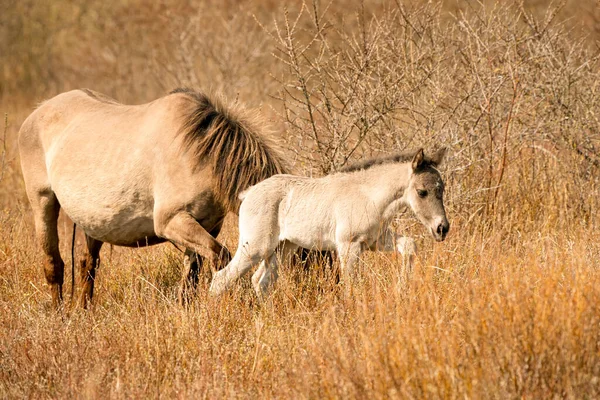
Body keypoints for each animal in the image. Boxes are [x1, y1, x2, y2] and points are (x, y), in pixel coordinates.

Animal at [18, 87, 288, 306]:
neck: (201, 155)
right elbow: (220, 260)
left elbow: (191, 275)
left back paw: (83, 310)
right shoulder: (172, 222)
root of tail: (38, 111)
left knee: (87, 264)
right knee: (53, 263)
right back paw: (59, 314)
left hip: (93, 221)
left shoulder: (205, 226)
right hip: (43, 202)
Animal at [209, 148, 448, 296]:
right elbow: (350, 284)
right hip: (256, 247)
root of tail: (249, 193)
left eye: (442, 189)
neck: (368, 196)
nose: (442, 228)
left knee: (261, 282)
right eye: (422, 192)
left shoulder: (374, 241)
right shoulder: (349, 245)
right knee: (221, 279)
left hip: (283, 248)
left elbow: (409, 245)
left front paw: (402, 287)